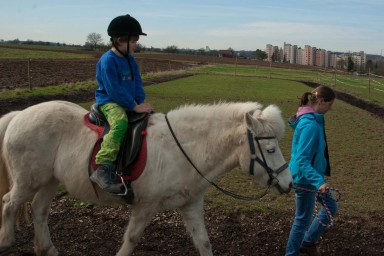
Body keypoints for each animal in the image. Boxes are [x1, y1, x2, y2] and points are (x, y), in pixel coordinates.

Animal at [0, 100, 292, 256]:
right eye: (270, 149)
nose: (288, 184)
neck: (184, 149)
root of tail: (19, 115)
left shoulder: (191, 206)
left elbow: (204, 242)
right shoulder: (145, 207)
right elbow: (131, 240)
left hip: (49, 180)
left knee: (39, 210)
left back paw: (47, 248)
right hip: (28, 180)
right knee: (8, 203)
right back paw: (6, 241)